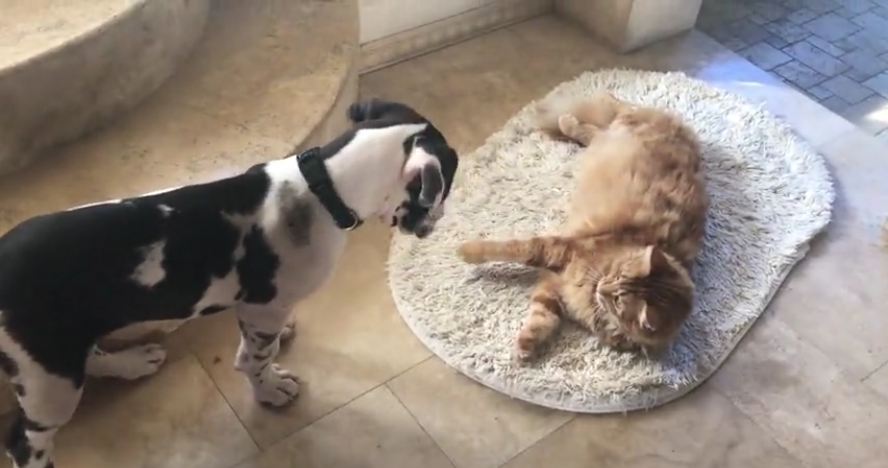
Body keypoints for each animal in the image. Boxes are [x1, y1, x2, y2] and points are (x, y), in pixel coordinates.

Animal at [0, 99, 458, 468]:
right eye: (444, 190)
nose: (436, 221)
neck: (325, 185)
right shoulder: (263, 308)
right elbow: (255, 357)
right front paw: (271, 388)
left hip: (62, 345)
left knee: (91, 356)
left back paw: (131, 362)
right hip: (48, 378)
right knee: (25, 440)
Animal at [458, 91, 708, 360]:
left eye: (618, 301)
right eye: (618, 275)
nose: (602, 288)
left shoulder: (556, 284)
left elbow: (543, 316)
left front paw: (525, 347)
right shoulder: (558, 251)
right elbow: (507, 248)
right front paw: (464, 251)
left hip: (613, 135)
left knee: (597, 128)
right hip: (620, 126)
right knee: (610, 110)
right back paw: (575, 113)